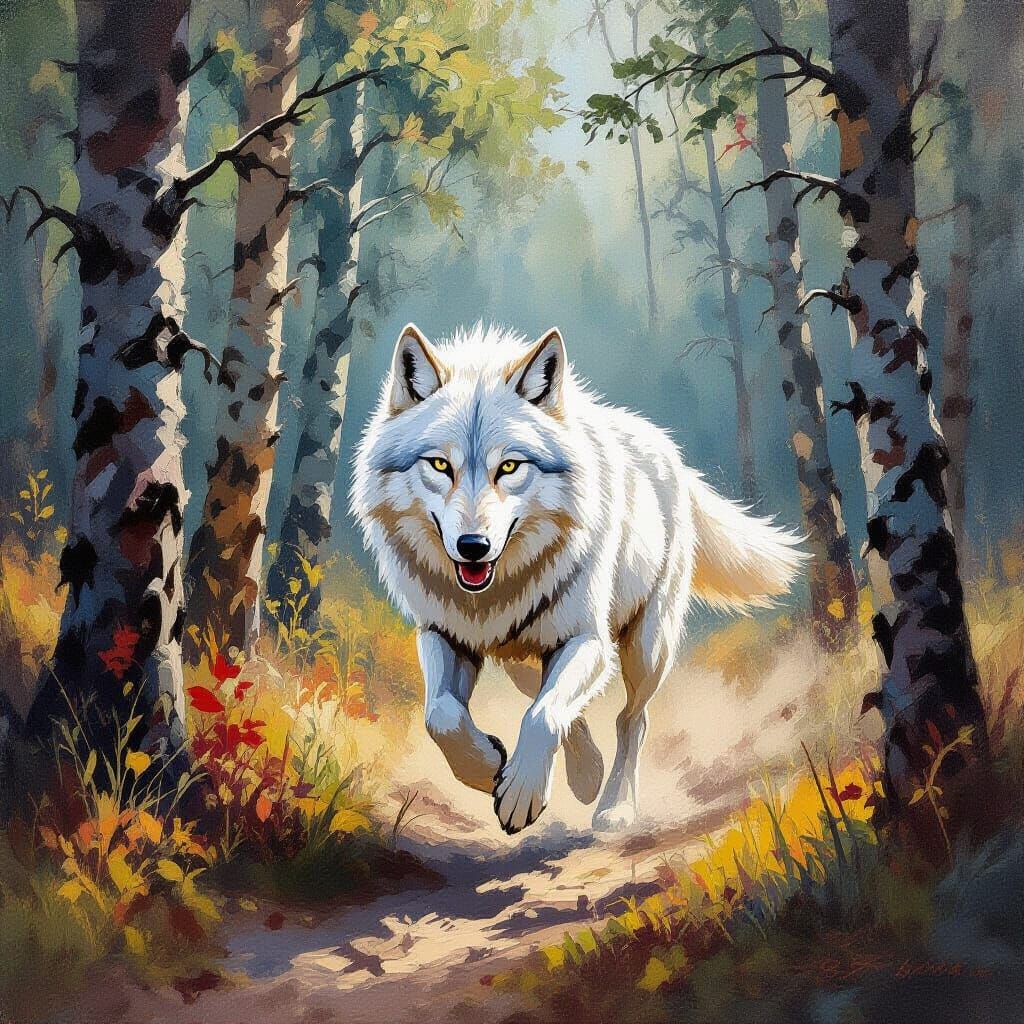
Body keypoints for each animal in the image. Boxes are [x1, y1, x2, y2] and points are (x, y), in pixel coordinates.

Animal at [352, 322, 807, 834]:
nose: (473, 546)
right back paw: (585, 774)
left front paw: (522, 793)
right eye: (439, 465)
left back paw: (613, 807)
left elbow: (544, 716)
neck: (494, 594)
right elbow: (442, 717)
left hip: (646, 647)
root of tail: (668, 451)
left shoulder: (587, 637)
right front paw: (490, 766)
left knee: (630, 719)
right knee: (555, 699)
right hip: (522, 659)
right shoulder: (443, 634)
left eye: (508, 467)